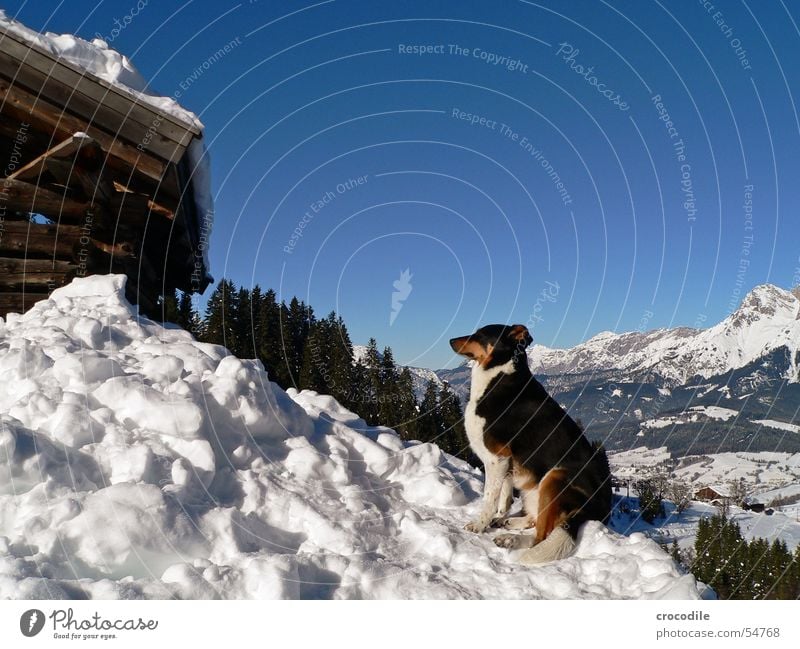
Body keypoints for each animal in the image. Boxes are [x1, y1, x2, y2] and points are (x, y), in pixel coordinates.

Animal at [450, 324, 612, 560]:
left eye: (480, 334)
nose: (451, 341)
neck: (499, 376)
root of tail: (597, 510)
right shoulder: (507, 464)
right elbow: (504, 500)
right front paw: (498, 518)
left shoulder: (496, 459)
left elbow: (489, 499)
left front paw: (479, 525)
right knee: (536, 521)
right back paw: (509, 523)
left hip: (555, 477)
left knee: (542, 535)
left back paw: (510, 539)